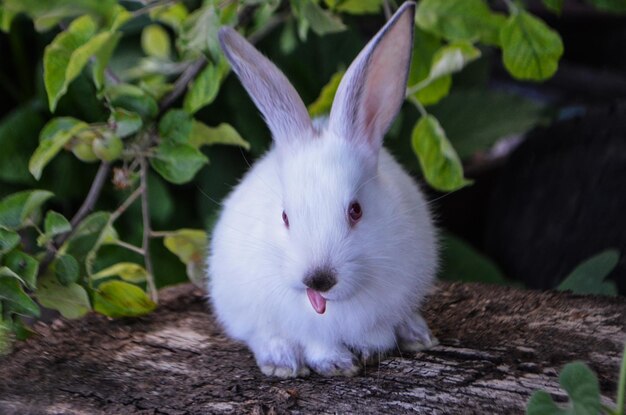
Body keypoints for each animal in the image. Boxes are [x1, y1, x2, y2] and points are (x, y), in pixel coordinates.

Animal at [207, 0, 436, 376]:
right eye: (285, 217)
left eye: (356, 210)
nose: (318, 279)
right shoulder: (302, 326)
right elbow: (316, 343)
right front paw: (337, 364)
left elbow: (378, 332)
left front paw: (371, 348)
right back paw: (281, 362)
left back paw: (417, 334)